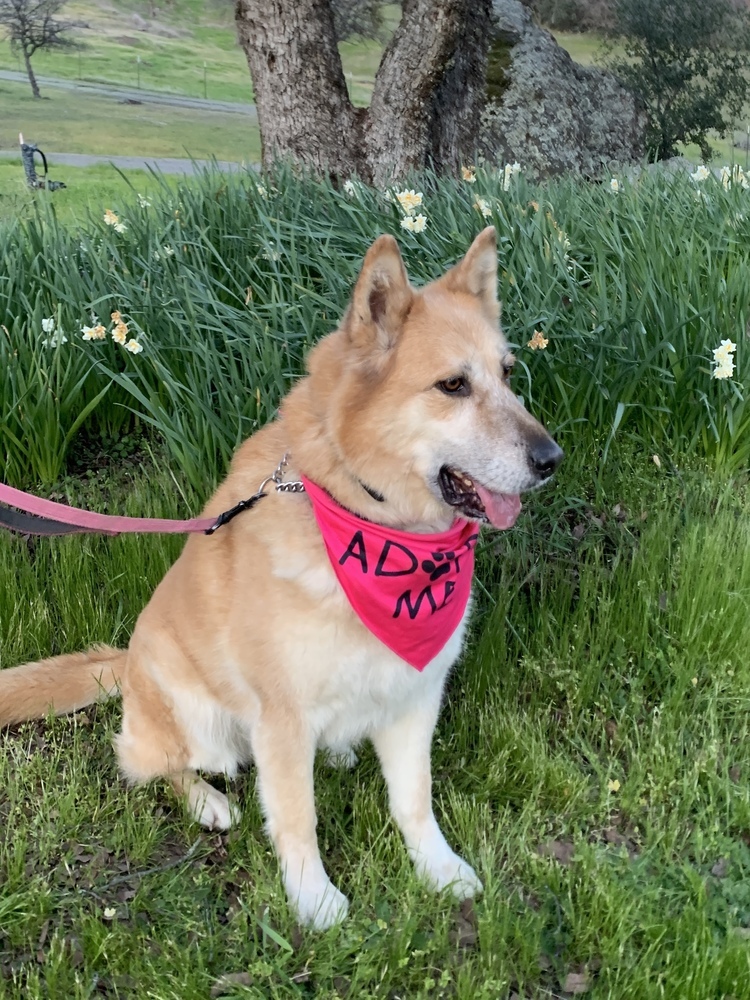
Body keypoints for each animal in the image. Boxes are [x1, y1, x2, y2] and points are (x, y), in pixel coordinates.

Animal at [0, 227, 564, 928]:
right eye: (453, 385)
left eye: (508, 374)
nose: (552, 459)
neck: (367, 515)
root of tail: (124, 660)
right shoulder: (283, 718)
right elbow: (298, 817)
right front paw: (314, 900)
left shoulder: (414, 698)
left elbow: (414, 799)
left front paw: (438, 869)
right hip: (198, 721)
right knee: (154, 763)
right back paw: (207, 800)